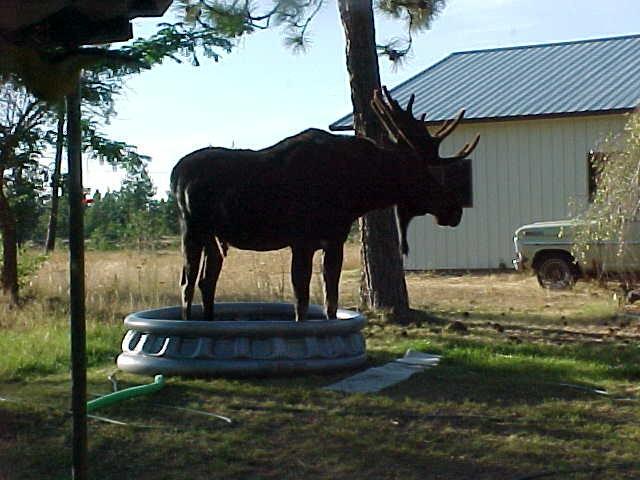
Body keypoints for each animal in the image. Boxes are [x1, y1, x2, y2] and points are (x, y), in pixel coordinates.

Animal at [171, 89, 480, 322]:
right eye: (421, 172)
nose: (454, 209)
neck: (355, 194)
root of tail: (175, 174)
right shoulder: (301, 240)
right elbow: (302, 300)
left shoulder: (334, 240)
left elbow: (330, 300)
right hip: (192, 228)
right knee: (187, 282)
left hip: (214, 236)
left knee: (206, 280)